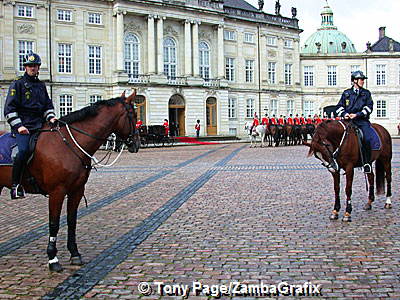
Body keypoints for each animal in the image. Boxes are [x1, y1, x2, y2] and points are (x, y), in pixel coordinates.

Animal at [0, 90, 138, 270]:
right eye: (134, 115)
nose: (137, 143)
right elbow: (54, 223)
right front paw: (52, 258)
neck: (69, 144)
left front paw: (74, 253)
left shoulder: (76, 190)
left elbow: (72, 221)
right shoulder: (57, 192)